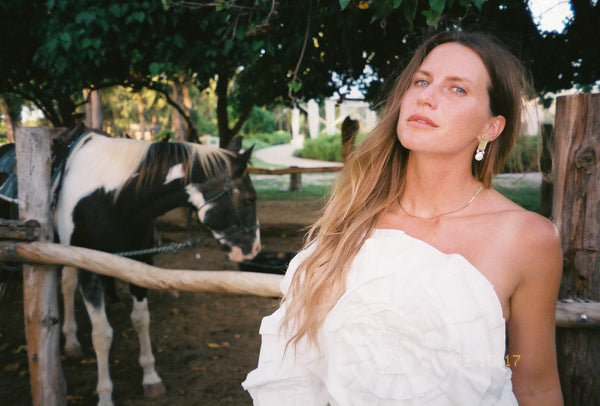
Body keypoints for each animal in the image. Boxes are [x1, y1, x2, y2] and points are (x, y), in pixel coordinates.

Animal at [1, 125, 260, 404]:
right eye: (249, 200)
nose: (254, 249)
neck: (112, 199)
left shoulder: (139, 261)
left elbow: (141, 319)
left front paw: (150, 377)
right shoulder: (90, 271)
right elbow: (102, 334)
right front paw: (105, 395)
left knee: (68, 284)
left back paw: (71, 341)